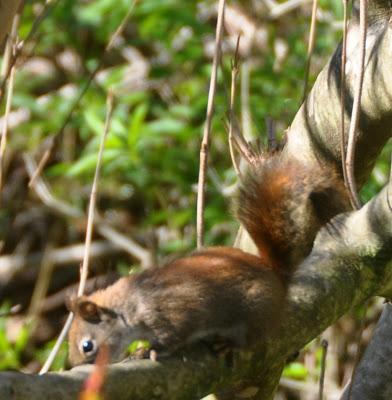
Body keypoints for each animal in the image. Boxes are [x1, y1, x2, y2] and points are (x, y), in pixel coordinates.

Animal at [67, 152, 350, 366]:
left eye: (87, 345)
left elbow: (174, 336)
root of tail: (277, 275)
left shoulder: (173, 313)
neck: (131, 304)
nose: (81, 368)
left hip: (254, 314)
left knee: (250, 339)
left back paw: (226, 344)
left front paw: (146, 350)